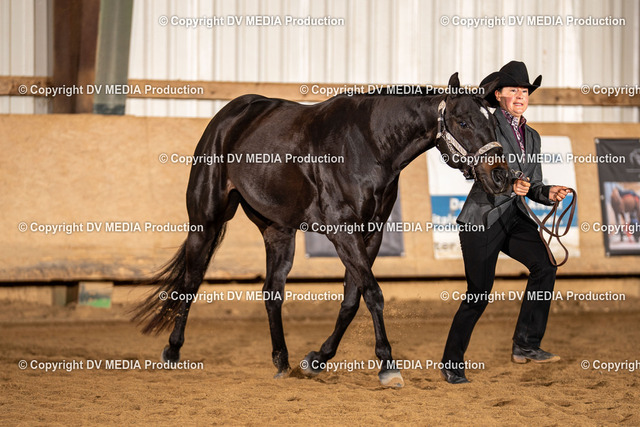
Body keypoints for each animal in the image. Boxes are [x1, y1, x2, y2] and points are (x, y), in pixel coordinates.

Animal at [133, 73, 510, 388]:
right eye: (463, 121)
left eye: (493, 121)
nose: (500, 175)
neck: (369, 144)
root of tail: (229, 116)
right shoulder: (342, 232)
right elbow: (373, 293)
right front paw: (387, 366)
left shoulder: (371, 234)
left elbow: (353, 298)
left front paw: (316, 359)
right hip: (206, 220)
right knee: (190, 282)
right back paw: (173, 351)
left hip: (278, 232)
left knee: (272, 292)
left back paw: (282, 361)